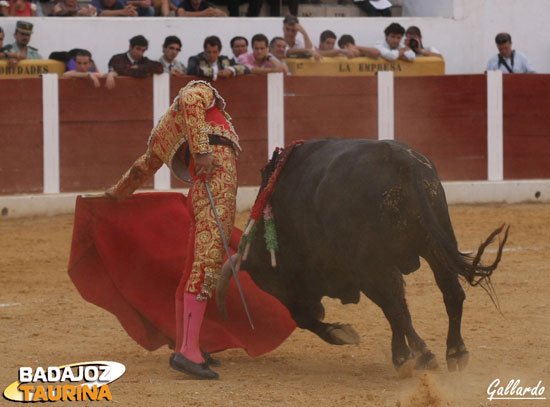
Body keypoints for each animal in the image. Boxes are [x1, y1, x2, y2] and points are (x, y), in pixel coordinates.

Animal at [216, 139, 508, 374]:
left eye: (272, 282)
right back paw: (456, 353)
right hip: (436, 243)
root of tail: (400, 161)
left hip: (370, 265)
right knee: (451, 294)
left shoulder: (366, 270)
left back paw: (412, 357)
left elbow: (396, 309)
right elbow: (403, 308)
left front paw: (404, 354)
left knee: (396, 307)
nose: (313, 311)